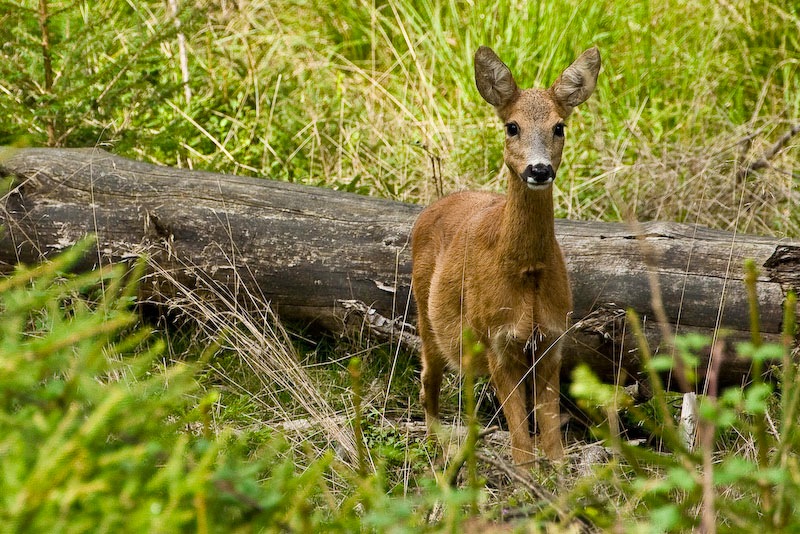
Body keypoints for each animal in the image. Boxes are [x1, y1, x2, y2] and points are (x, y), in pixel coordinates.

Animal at [412, 46, 600, 464]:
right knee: (427, 380)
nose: (539, 169)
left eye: (559, 127)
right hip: (426, 318)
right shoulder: (497, 342)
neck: (527, 272)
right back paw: (436, 446)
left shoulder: (551, 342)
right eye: (512, 126)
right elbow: (522, 448)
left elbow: (552, 443)